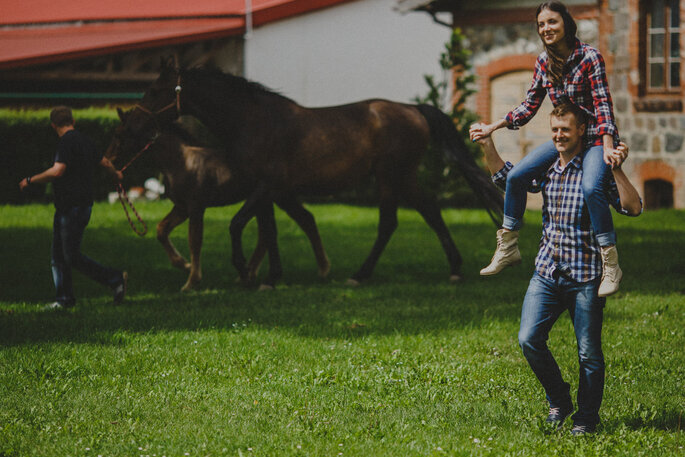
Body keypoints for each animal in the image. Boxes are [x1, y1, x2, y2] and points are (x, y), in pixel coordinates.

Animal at [107, 110, 328, 288]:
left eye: (119, 134)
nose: (108, 160)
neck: (182, 162)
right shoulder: (182, 207)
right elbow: (162, 230)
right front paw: (184, 265)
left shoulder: (196, 207)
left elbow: (195, 241)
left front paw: (191, 282)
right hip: (265, 201)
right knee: (270, 233)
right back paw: (248, 275)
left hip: (279, 198)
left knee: (304, 220)